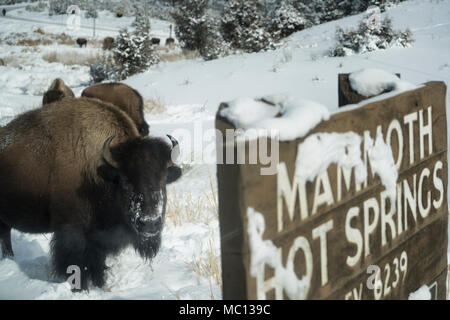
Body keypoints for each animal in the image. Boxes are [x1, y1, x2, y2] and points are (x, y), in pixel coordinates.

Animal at [0, 97, 183, 290]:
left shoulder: (98, 239)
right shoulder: (72, 233)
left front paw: (100, 284)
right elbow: (76, 264)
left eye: (163, 179)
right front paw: (81, 289)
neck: (101, 174)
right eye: (125, 180)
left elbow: (97, 264)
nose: (150, 224)